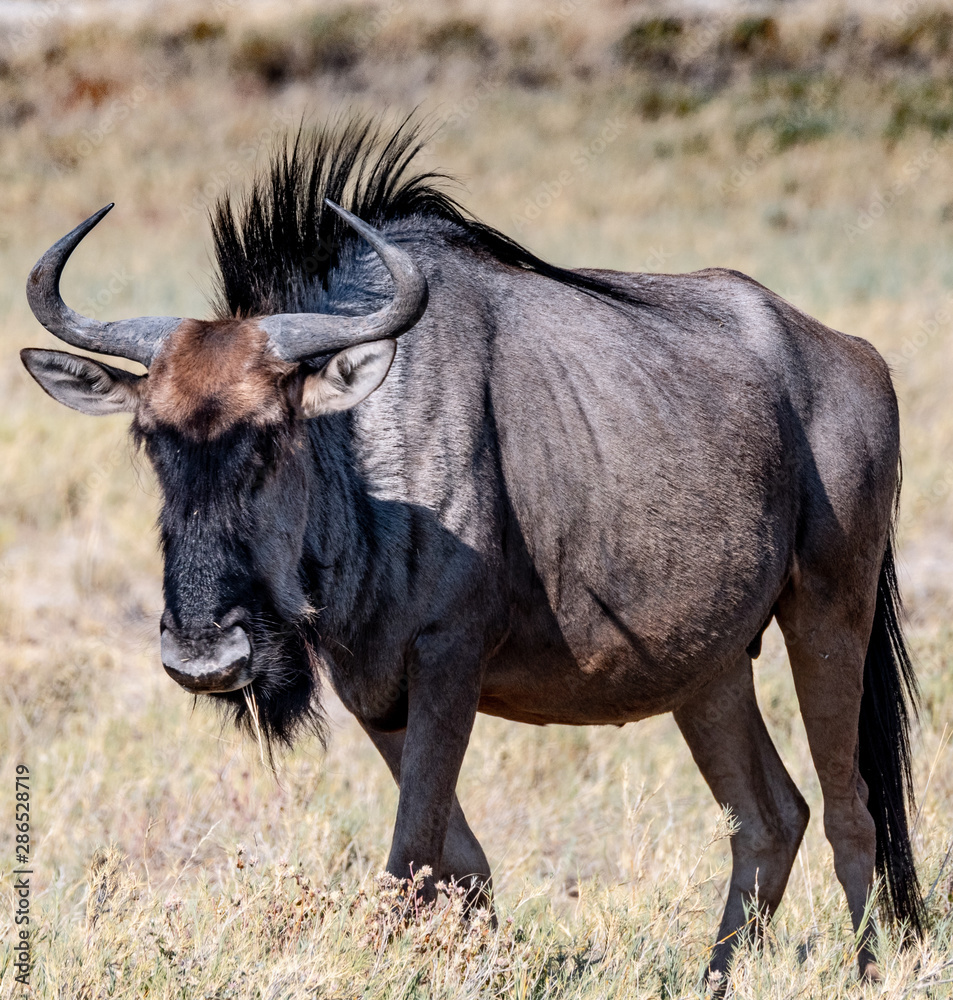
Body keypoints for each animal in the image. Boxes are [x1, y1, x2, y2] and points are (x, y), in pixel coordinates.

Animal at [21, 117, 922, 984]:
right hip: (710, 669)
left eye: (273, 434)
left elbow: (410, 856)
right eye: (150, 438)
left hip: (828, 618)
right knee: (769, 818)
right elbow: (457, 862)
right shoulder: (372, 687)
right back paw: (717, 975)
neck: (367, 454)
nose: (205, 655)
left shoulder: (448, 659)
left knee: (848, 808)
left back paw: (868, 972)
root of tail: (858, 358)